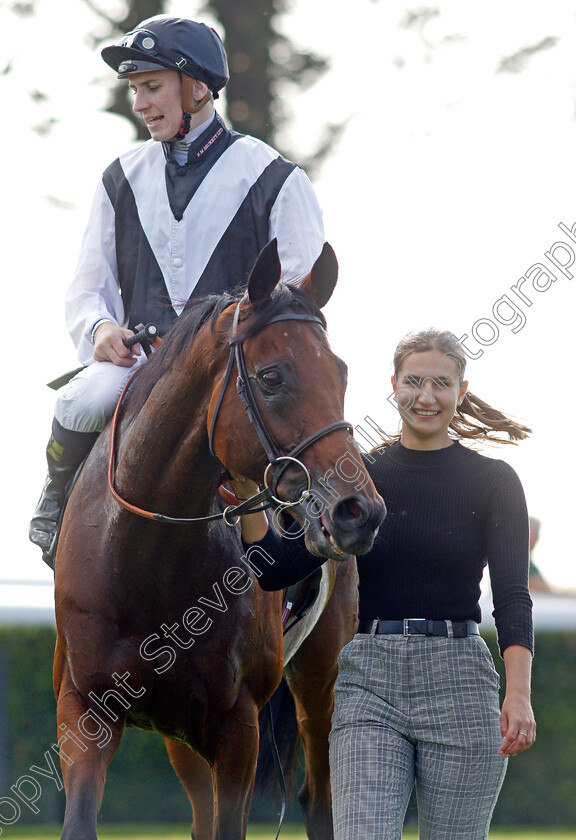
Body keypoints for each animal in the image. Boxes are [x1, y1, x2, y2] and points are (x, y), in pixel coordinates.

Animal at [53, 238, 388, 840]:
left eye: (341, 373)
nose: (360, 511)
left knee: (319, 797)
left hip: (321, 675)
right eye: (272, 377)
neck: (145, 561)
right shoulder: (85, 708)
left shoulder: (238, 726)